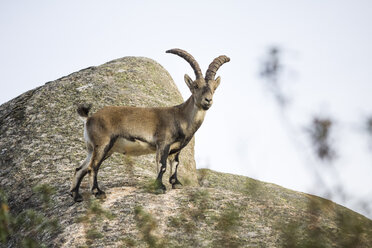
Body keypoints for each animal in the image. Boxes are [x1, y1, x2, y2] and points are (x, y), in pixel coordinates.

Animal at [68, 48, 228, 202]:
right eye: (195, 86)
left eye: (214, 88)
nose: (208, 100)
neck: (180, 116)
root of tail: (89, 118)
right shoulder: (163, 143)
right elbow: (162, 165)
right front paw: (159, 187)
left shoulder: (176, 149)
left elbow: (175, 164)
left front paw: (176, 183)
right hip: (103, 144)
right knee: (92, 167)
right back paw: (98, 192)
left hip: (95, 148)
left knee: (80, 168)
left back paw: (76, 196)